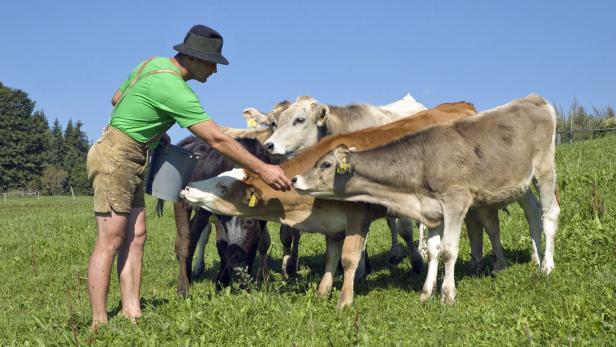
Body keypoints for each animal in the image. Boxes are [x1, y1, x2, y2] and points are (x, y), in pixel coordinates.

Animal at [292, 94, 560, 304]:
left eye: (326, 164)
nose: (295, 179)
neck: (421, 163)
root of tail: (535, 99)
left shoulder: (455, 203)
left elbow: (448, 251)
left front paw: (447, 294)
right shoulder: (432, 211)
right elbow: (433, 251)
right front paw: (426, 292)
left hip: (544, 171)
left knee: (549, 214)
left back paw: (547, 266)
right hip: (520, 184)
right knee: (533, 213)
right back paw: (535, 260)